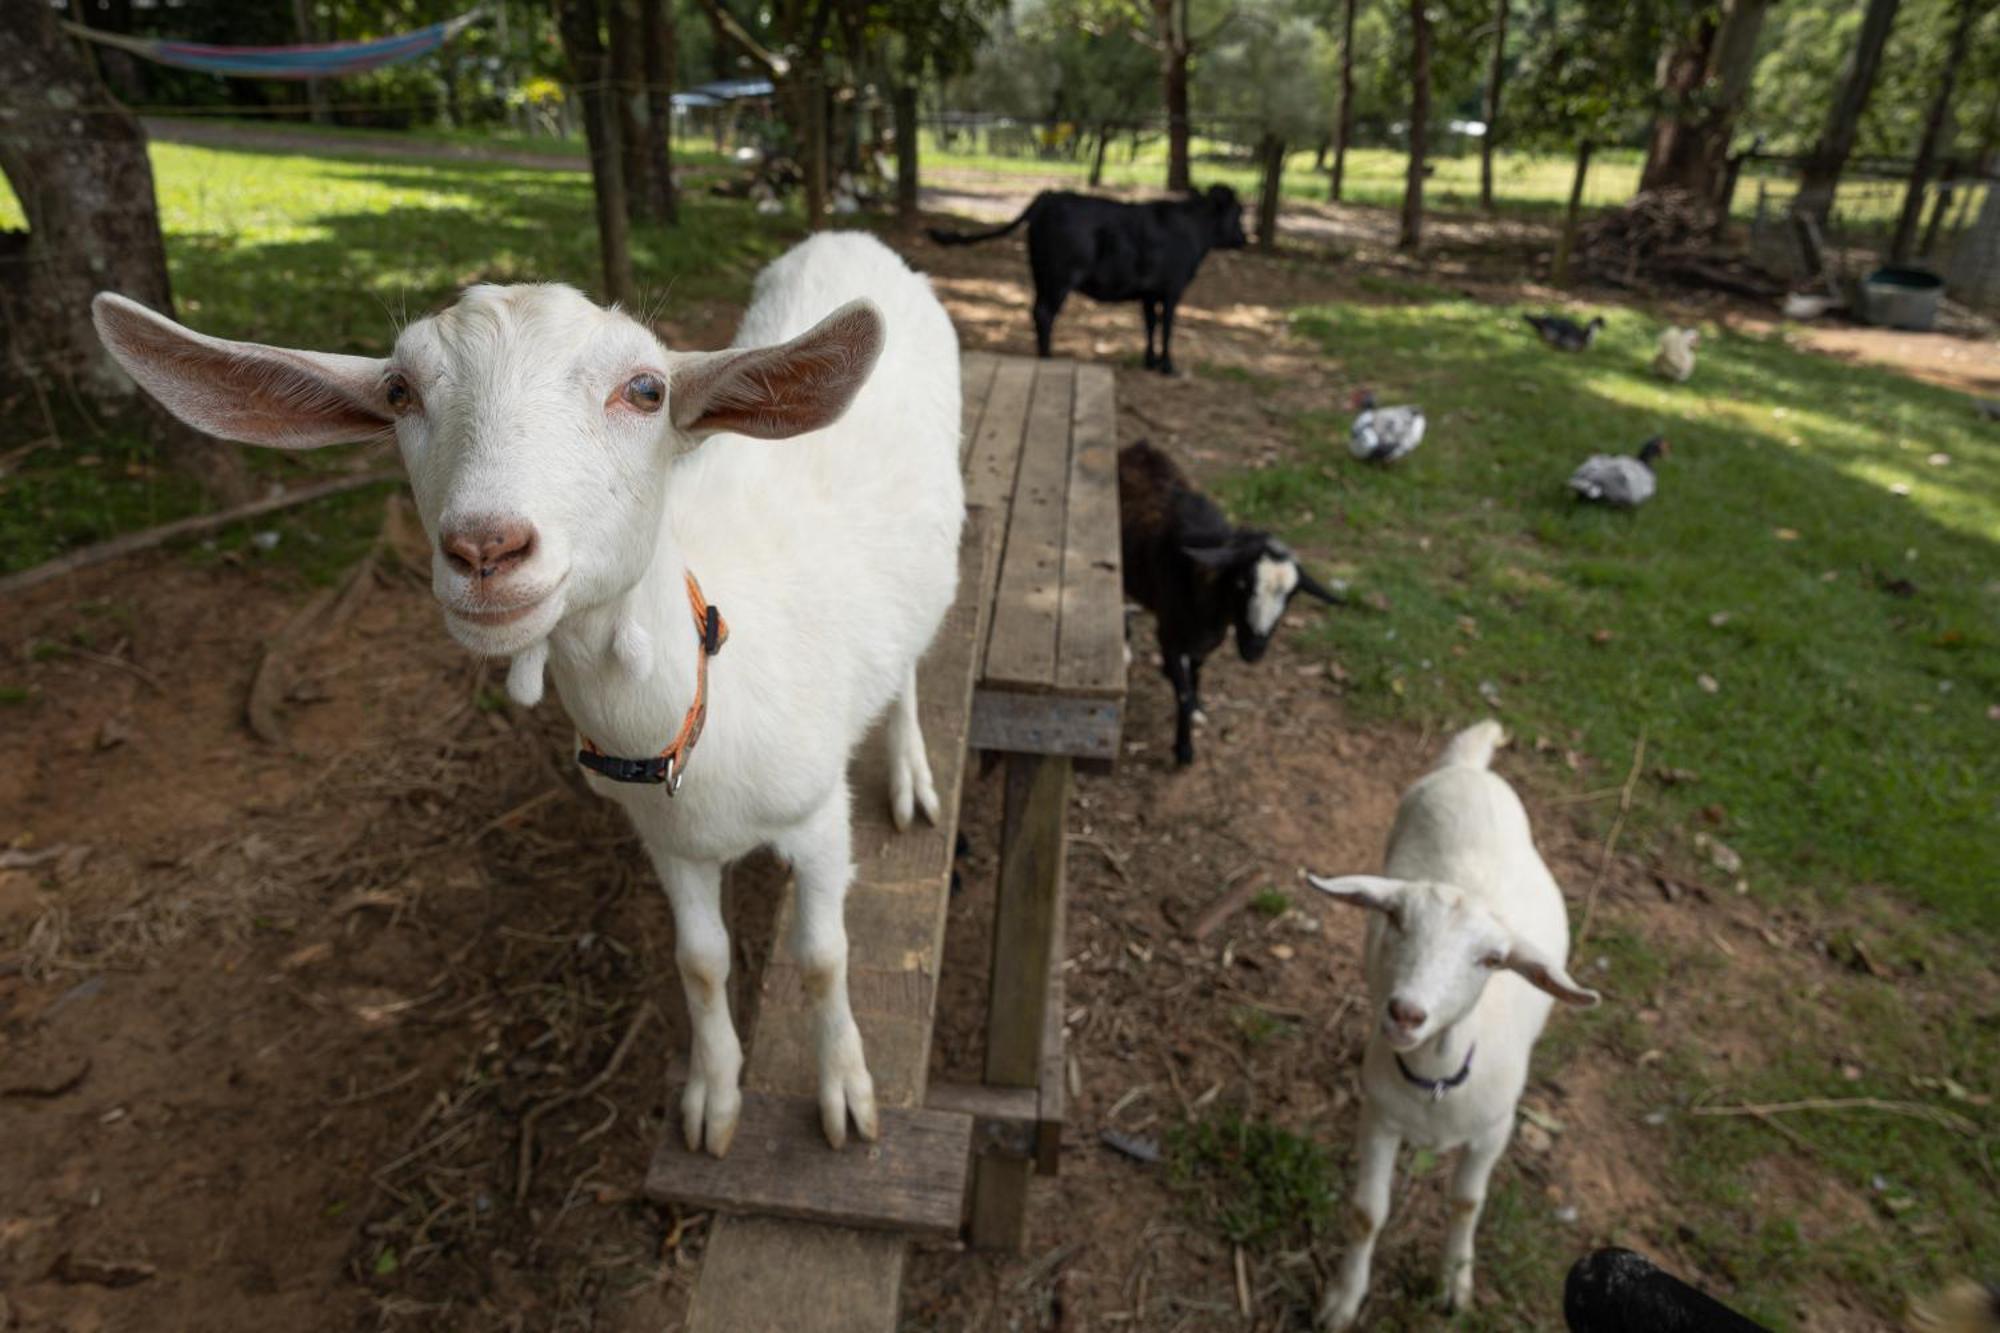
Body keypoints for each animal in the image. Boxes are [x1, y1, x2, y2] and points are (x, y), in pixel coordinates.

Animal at [90, 228, 964, 1152]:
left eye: (647, 389)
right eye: (398, 390)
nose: (485, 548)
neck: (704, 696)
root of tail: (847, 236)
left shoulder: (818, 818)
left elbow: (823, 957)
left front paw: (845, 1092)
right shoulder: (666, 840)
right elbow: (700, 961)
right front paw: (712, 1097)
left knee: (912, 658)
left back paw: (910, 774)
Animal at [928, 187, 1240, 374]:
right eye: (1238, 215)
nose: (1244, 238)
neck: (1194, 230)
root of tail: (1049, 196)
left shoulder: (1149, 294)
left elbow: (1151, 325)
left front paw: (1150, 361)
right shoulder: (1172, 290)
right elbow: (1167, 328)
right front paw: (1167, 366)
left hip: (1042, 274)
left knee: (1037, 311)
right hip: (1059, 277)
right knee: (1044, 313)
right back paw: (1048, 357)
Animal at [1304, 720, 1600, 1320]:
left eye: (1491, 959)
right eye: (1394, 918)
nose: (1405, 1012)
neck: (1435, 1082)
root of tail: (1470, 766)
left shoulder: (1494, 1130)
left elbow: (1467, 1201)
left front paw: (1454, 1284)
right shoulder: (1380, 1117)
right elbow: (1367, 1212)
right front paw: (1343, 1300)